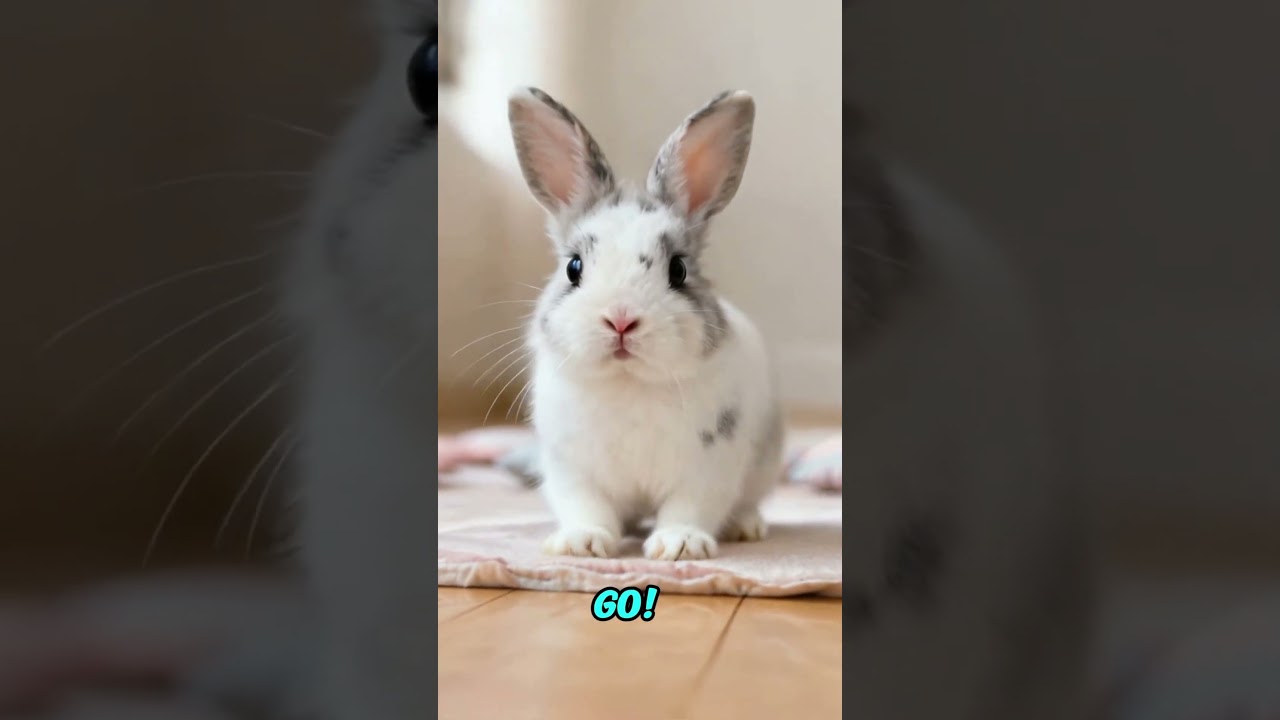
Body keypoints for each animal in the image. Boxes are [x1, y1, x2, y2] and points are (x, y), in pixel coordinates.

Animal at [506, 87, 786, 561]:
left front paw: (680, 545)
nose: (621, 319)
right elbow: (588, 507)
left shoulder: (708, 465)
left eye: (678, 270)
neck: (628, 382)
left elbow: (688, 507)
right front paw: (582, 544)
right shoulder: (571, 470)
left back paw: (745, 526)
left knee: (747, 500)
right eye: (574, 268)